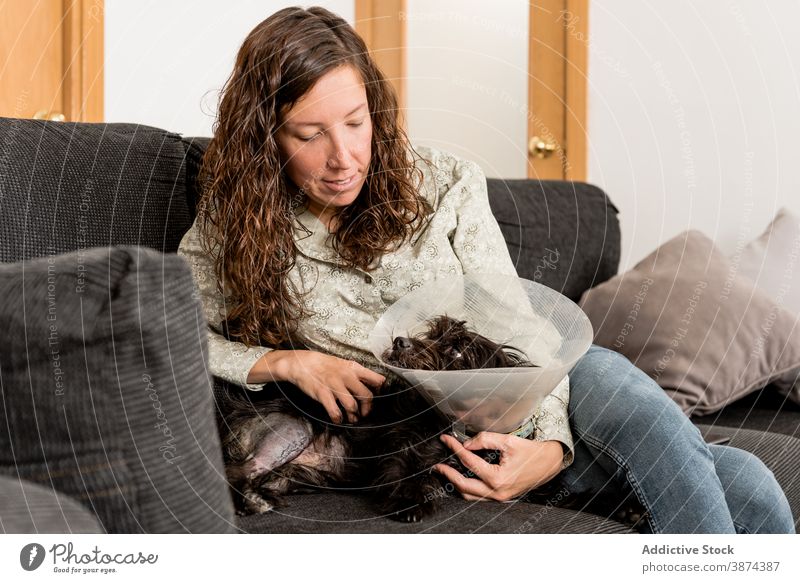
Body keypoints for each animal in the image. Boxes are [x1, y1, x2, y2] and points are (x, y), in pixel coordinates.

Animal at [216, 318, 536, 524]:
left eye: (457, 351)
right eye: (432, 334)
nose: (399, 341)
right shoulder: (402, 446)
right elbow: (403, 471)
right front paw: (410, 501)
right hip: (292, 429)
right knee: (237, 470)